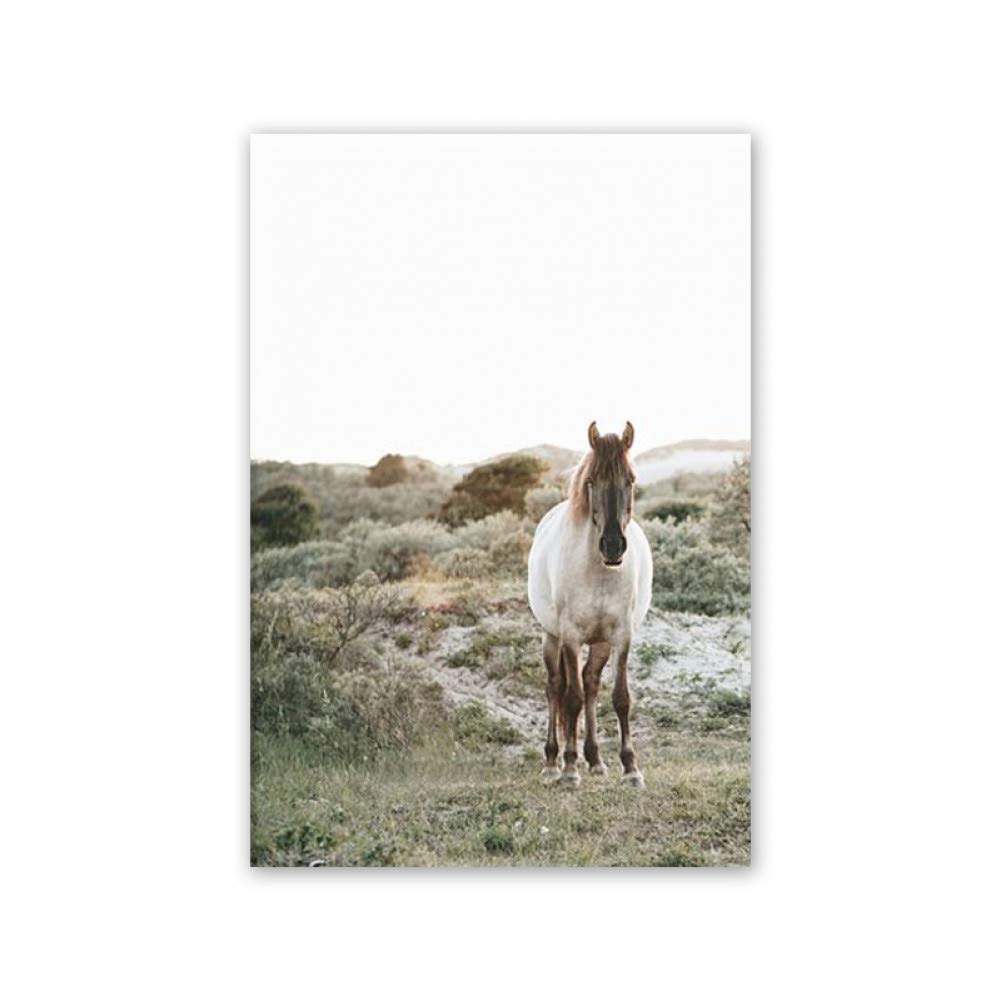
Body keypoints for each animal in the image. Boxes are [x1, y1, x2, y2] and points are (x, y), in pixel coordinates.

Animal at [527, 420, 653, 788]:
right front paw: (569, 769)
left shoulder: (622, 636)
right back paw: (552, 762)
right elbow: (572, 698)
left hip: (600, 643)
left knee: (592, 683)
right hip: (551, 636)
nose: (613, 546)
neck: (599, 571)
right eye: (591, 481)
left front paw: (631, 768)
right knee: (556, 686)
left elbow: (620, 698)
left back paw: (595, 759)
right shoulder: (570, 636)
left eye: (631, 480)